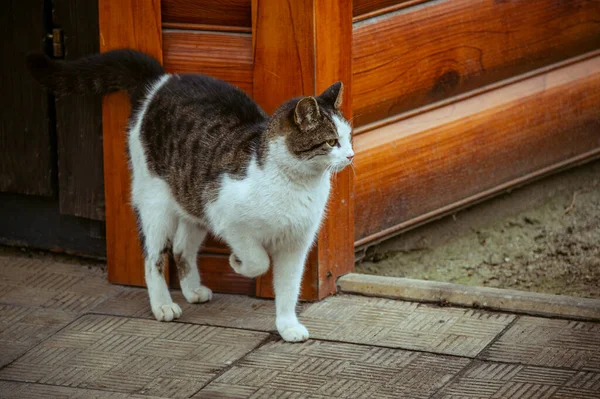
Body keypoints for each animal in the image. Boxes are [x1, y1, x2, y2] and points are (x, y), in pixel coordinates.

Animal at [28, 49, 354, 344]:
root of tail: (160, 82)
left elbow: (288, 288)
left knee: (181, 248)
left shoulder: (296, 244)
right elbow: (258, 260)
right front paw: (237, 263)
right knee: (153, 258)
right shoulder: (227, 218)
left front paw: (287, 327)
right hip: (156, 204)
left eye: (349, 137)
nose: (351, 156)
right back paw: (162, 305)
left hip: (192, 201)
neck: (297, 183)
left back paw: (192, 290)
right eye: (331, 142)